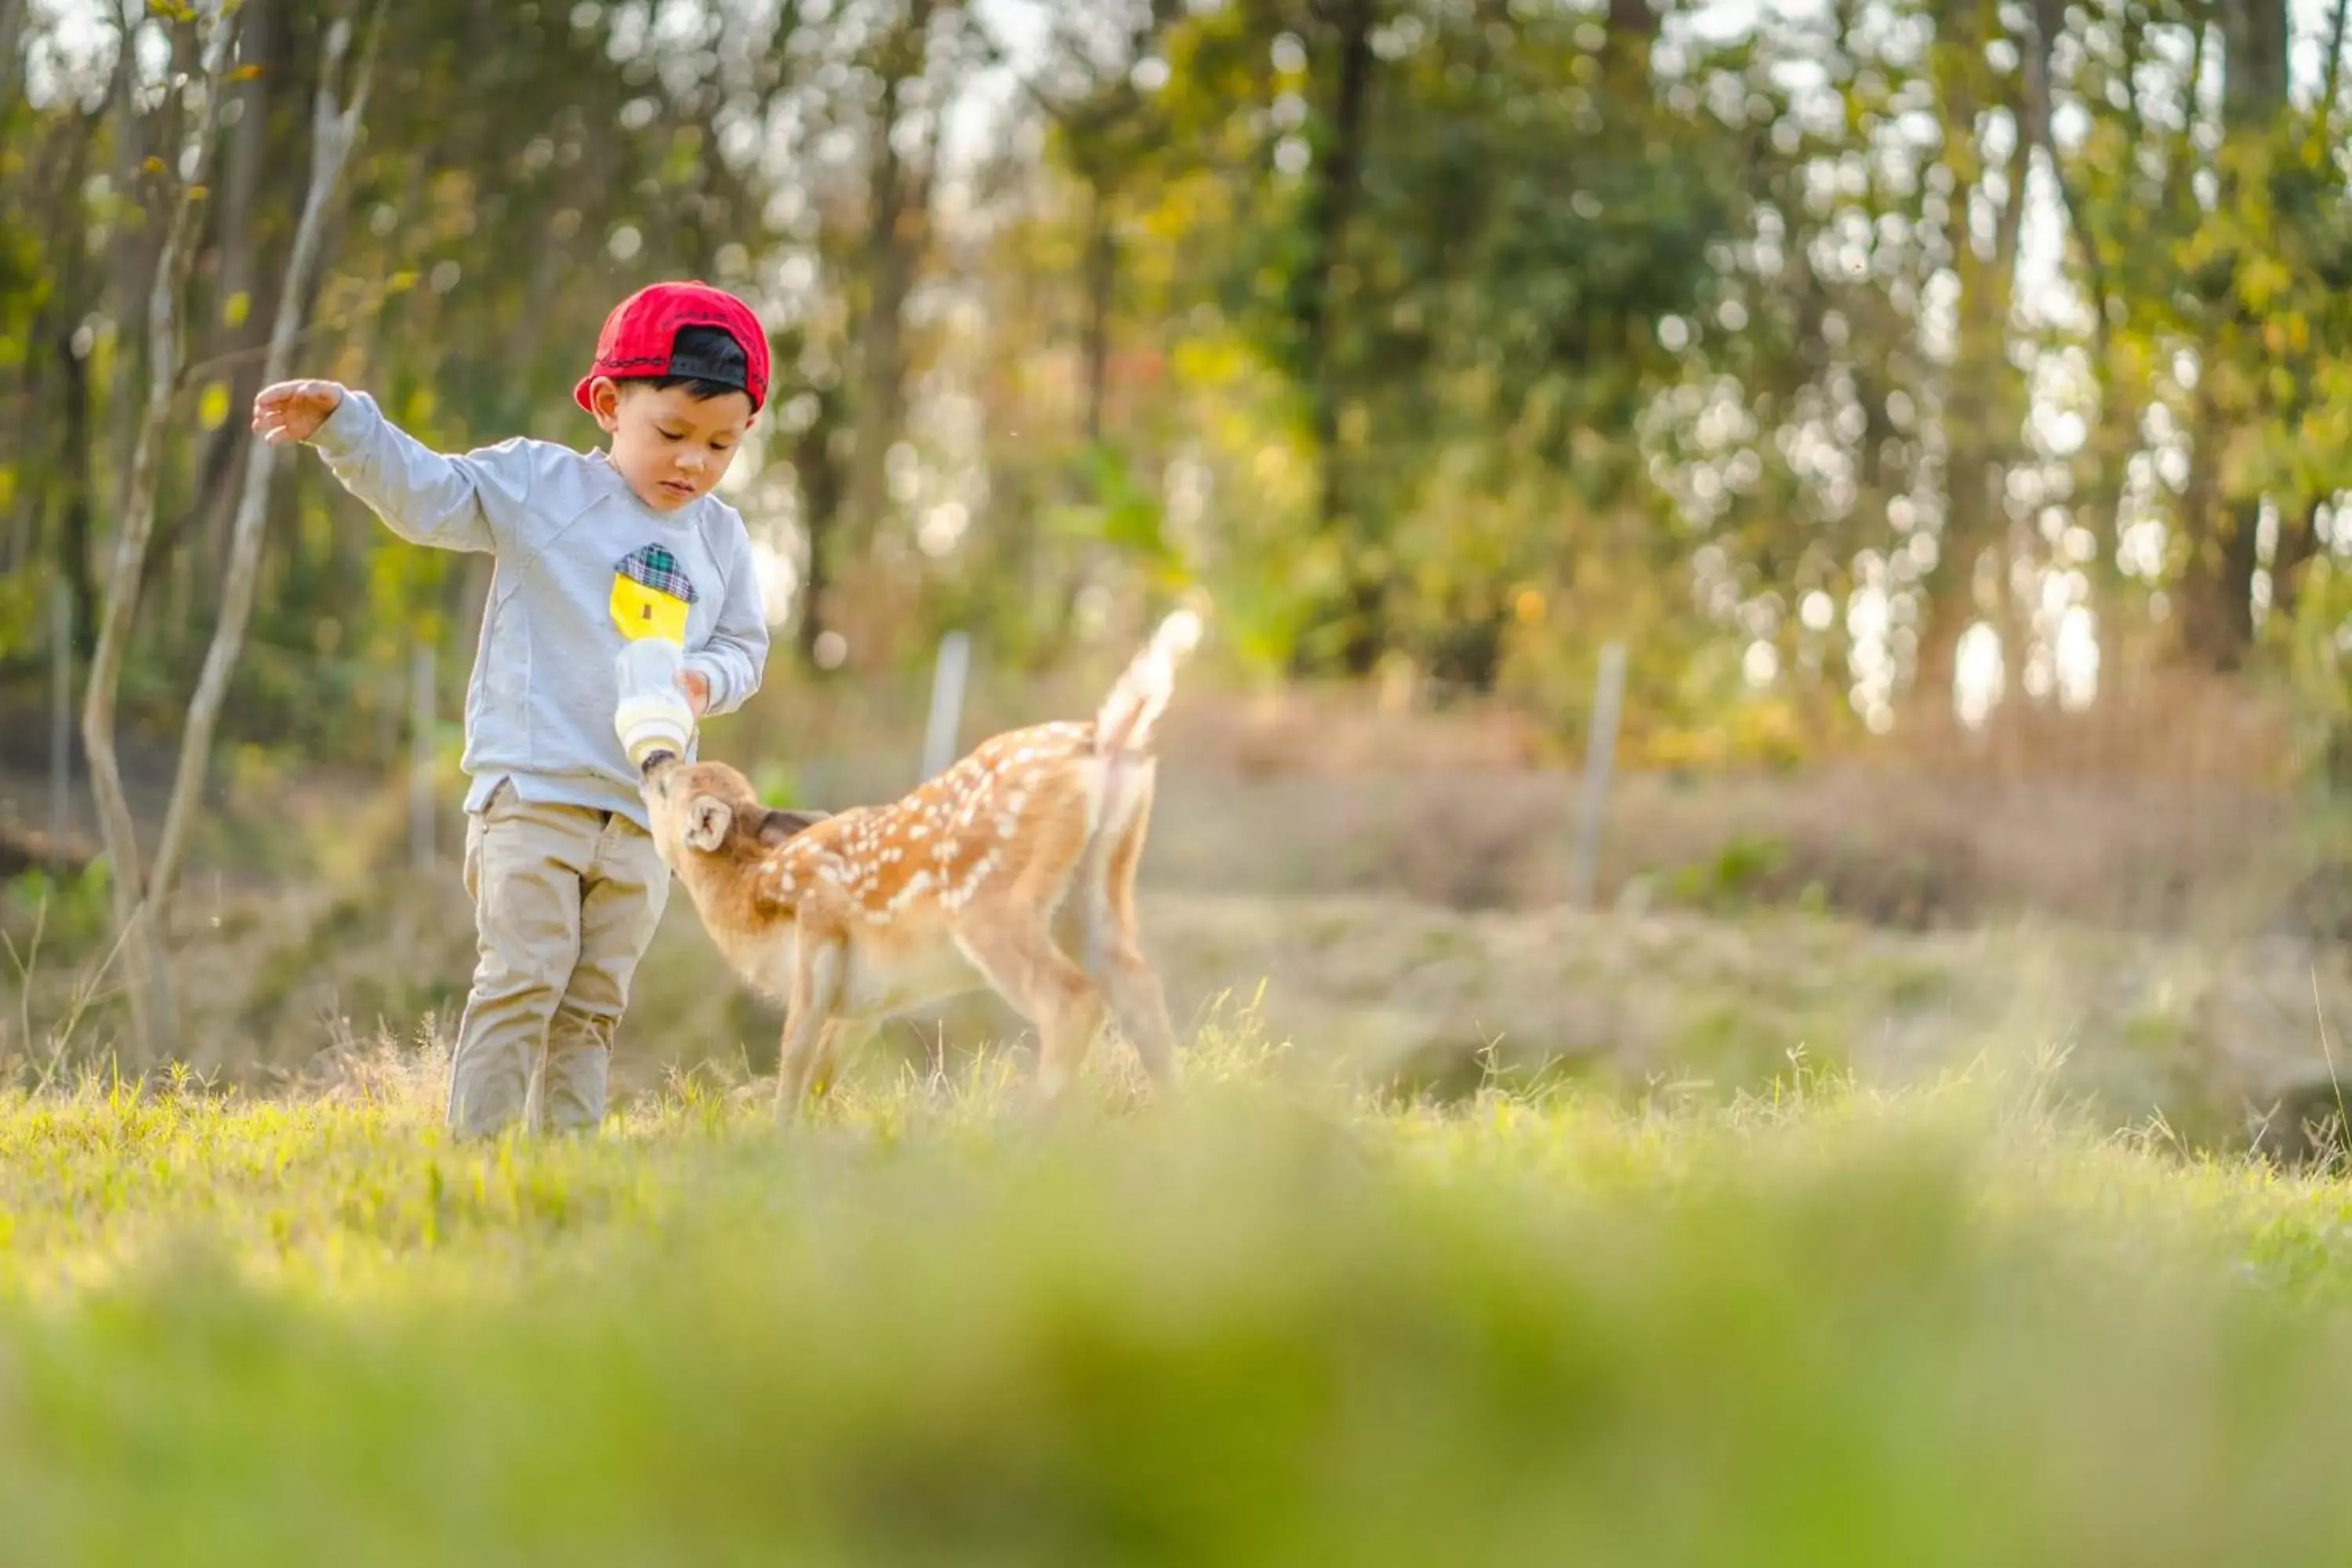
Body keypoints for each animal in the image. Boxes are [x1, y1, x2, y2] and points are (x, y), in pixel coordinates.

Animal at [635, 606, 1204, 1109]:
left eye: (667, 787)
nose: (653, 762)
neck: (749, 898)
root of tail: (1105, 739)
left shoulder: (819, 928)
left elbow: (794, 1054)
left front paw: (778, 1136)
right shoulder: (864, 1006)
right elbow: (823, 1073)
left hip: (990, 903)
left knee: (1074, 1002)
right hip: (1098, 893)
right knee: (1141, 991)